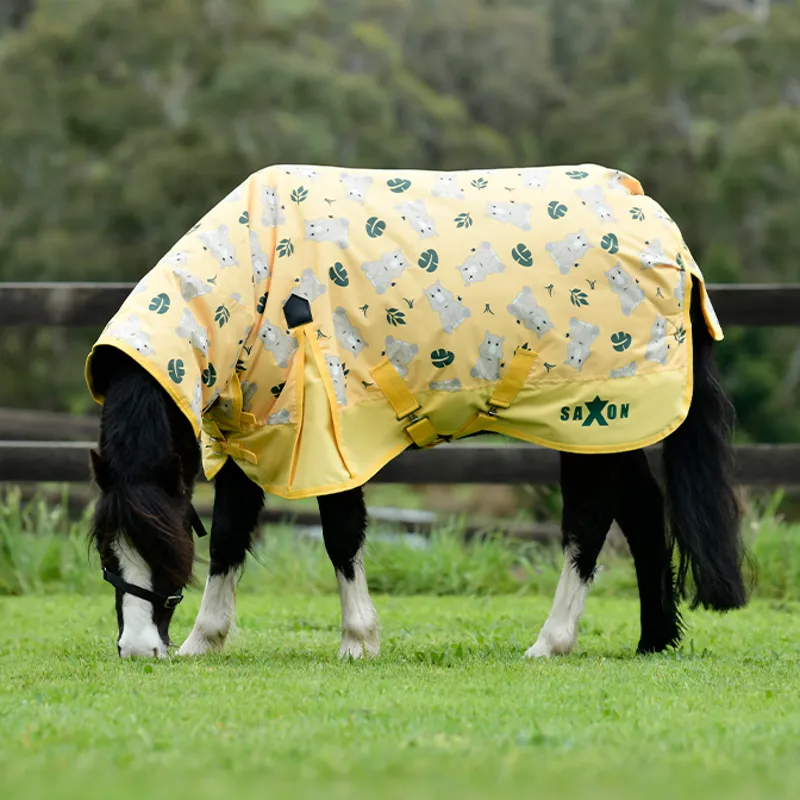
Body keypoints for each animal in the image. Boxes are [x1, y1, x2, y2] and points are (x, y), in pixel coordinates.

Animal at [86, 162, 747, 659]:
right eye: (107, 551)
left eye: (163, 548)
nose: (139, 649)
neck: (257, 277)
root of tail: (657, 222)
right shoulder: (251, 433)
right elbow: (227, 535)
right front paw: (204, 640)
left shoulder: (328, 434)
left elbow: (340, 534)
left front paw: (358, 641)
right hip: (610, 427)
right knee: (643, 513)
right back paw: (653, 640)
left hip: (590, 420)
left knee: (588, 523)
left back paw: (551, 642)